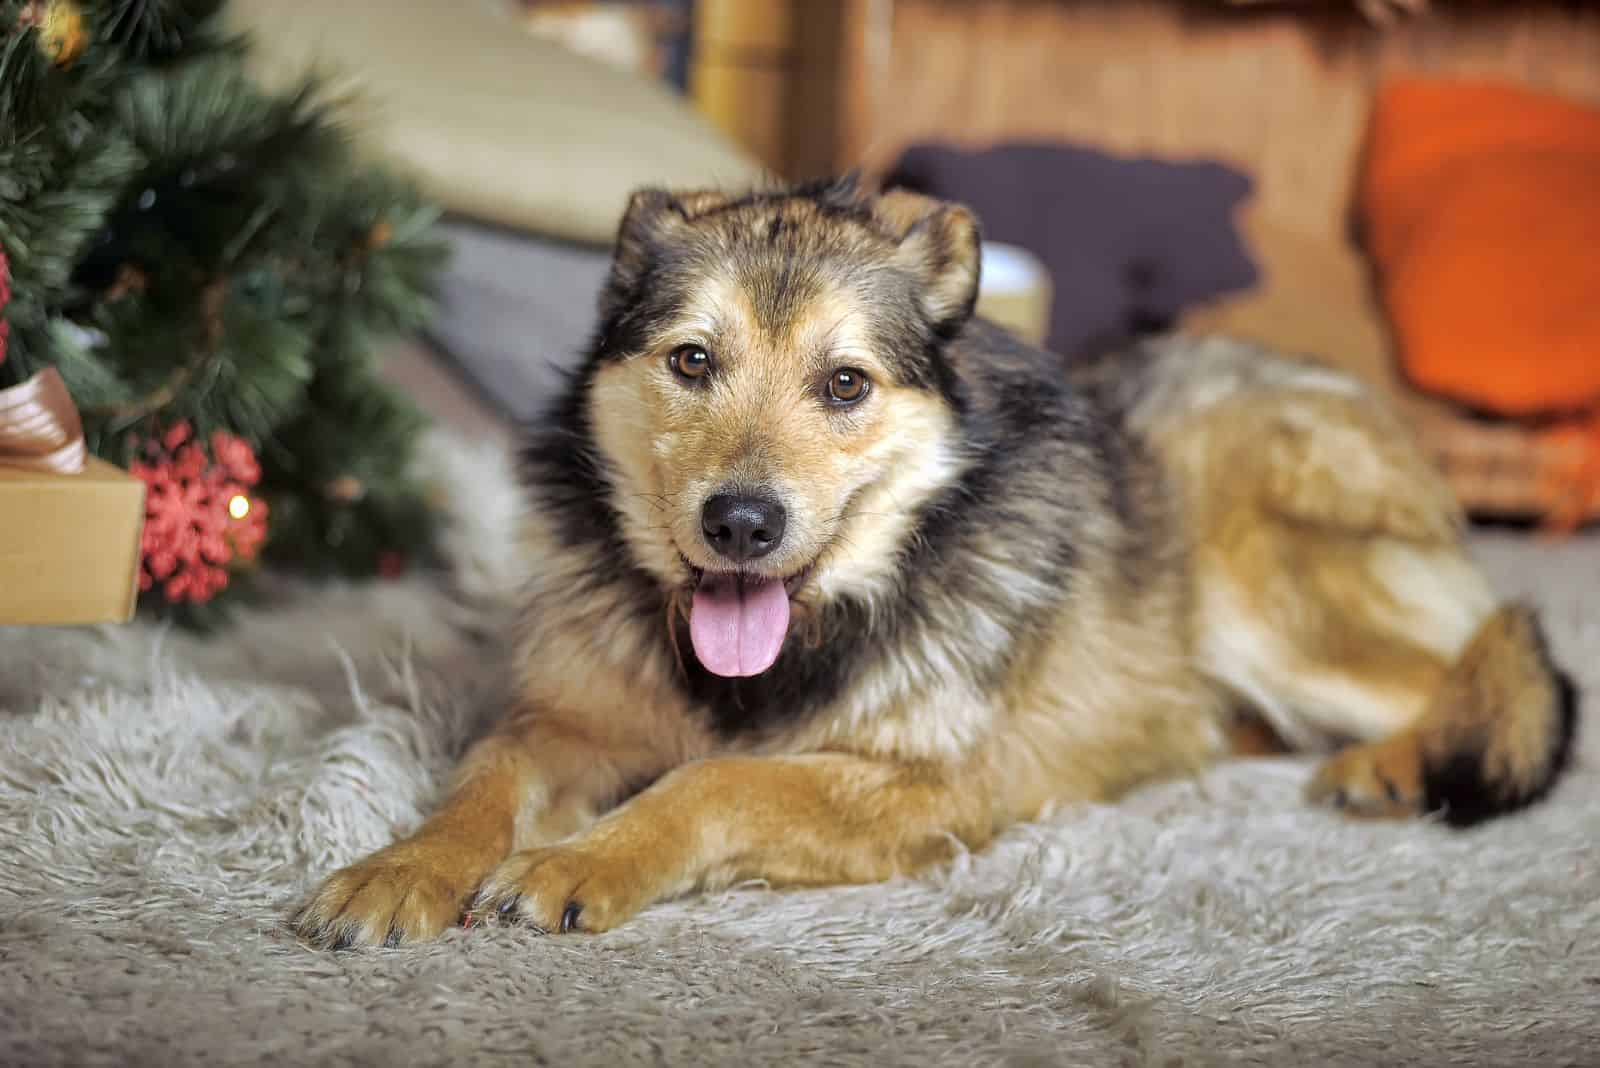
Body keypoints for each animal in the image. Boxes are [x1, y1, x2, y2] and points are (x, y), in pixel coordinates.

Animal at [294, 177, 1580, 952]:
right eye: (692, 361)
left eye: (844, 384)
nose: (741, 524)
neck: (773, 662)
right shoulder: (566, 719)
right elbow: (484, 779)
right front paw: (402, 868)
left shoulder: (937, 784)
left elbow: (716, 785)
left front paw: (580, 860)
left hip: (1259, 588)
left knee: (1487, 665)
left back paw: (1389, 765)